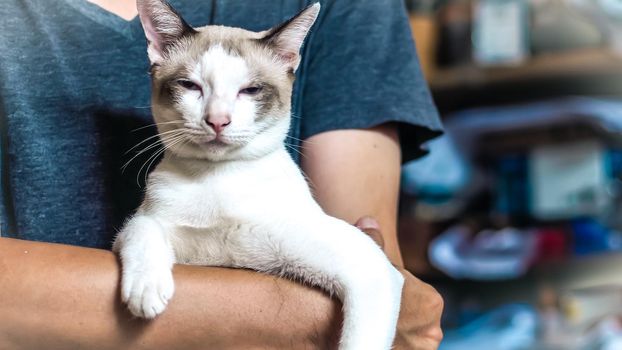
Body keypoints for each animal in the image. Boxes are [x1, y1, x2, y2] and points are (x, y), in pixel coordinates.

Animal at [112, 1, 404, 348]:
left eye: (250, 90)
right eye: (190, 86)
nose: (218, 120)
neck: (218, 178)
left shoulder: (369, 267)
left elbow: (359, 339)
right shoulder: (155, 228)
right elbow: (142, 226)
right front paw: (146, 290)